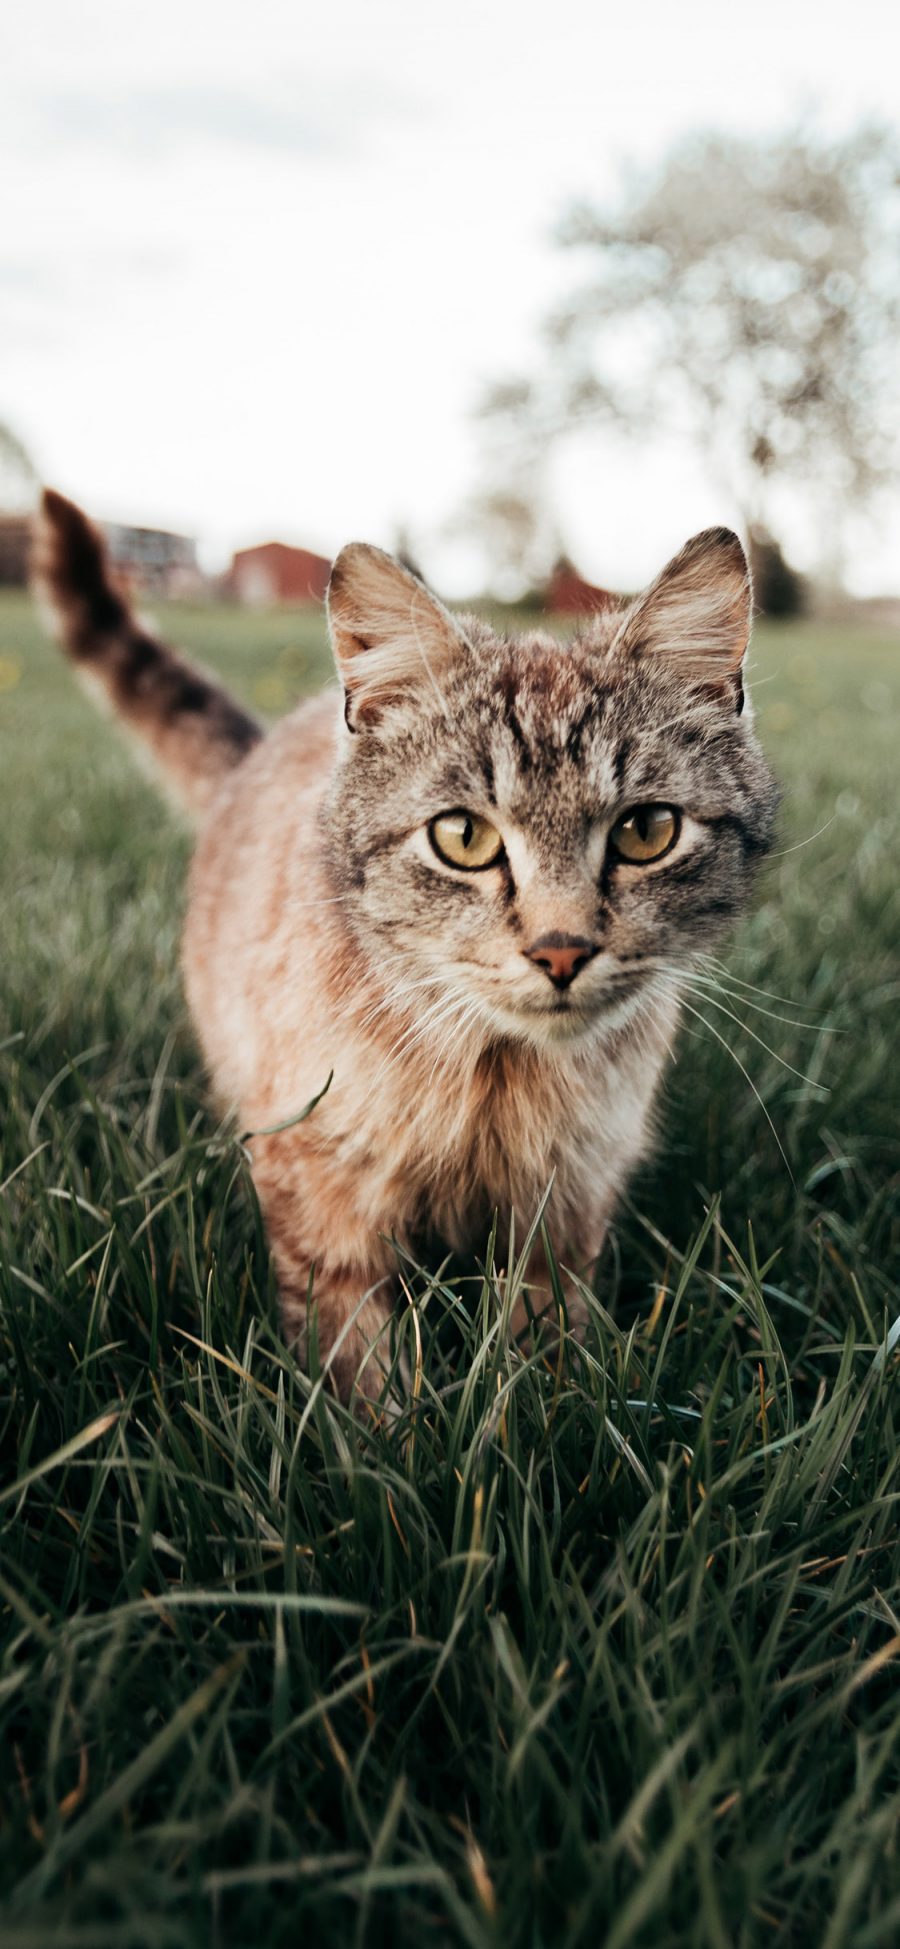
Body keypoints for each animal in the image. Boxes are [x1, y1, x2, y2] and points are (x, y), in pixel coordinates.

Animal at [37, 487, 775, 1403]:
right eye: (462, 836)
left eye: (647, 831)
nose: (561, 950)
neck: (494, 1077)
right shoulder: (317, 1179)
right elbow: (353, 1351)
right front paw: (380, 1430)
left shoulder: (568, 1199)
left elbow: (543, 1342)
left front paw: (542, 1408)